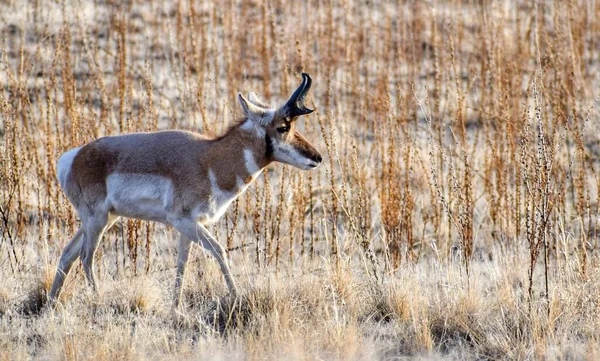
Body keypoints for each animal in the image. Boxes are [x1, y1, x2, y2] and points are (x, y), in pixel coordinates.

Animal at [50, 73, 324, 306]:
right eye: (283, 127)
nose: (318, 158)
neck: (210, 159)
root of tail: (74, 156)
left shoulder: (189, 226)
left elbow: (182, 263)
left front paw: (176, 308)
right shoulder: (183, 221)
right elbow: (220, 250)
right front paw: (236, 297)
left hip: (103, 219)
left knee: (68, 254)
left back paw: (51, 305)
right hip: (97, 220)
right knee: (86, 256)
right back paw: (96, 300)